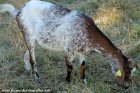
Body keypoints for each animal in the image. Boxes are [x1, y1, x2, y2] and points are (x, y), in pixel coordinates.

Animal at [0, 0, 136, 88]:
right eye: (128, 73)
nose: (127, 86)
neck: (87, 31)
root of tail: (19, 11)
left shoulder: (82, 51)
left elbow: (83, 65)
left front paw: (84, 82)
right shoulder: (69, 50)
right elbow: (70, 67)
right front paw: (68, 82)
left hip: (33, 39)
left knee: (27, 53)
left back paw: (28, 68)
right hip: (28, 34)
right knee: (33, 59)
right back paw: (37, 78)